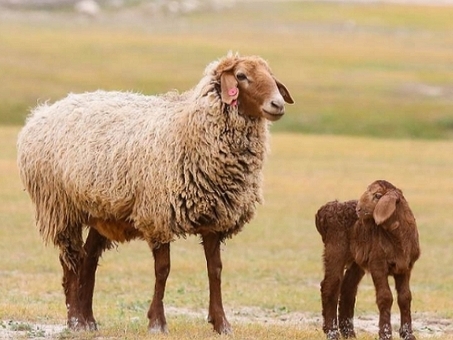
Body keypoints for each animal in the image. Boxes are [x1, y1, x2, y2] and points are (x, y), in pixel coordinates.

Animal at [16, 53, 294, 334]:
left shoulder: (215, 218)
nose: (277, 104)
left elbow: (215, 270)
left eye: (270, 75)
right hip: (60, 207)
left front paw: (221, 323)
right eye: (241, 76)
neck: (188, 129)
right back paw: (75, 321)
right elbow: (163, 270)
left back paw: (89, 320)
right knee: (71, 260)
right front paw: (157, 322)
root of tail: (41, 113)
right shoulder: (158, 216)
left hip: (102, 211)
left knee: (89, 259)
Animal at [314, 181, 420, 340]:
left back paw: (348, 333)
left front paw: (408, 334)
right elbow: (385, 297)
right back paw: (332, 332)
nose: (358, 209)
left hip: (356, 261)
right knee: (330, 286)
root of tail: (324, 211)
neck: (398, 238)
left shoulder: (405, 267)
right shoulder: (377, 263)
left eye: (378, 195)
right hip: (335, 249)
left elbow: (405, 297)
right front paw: (385, 334)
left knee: (348, 288)